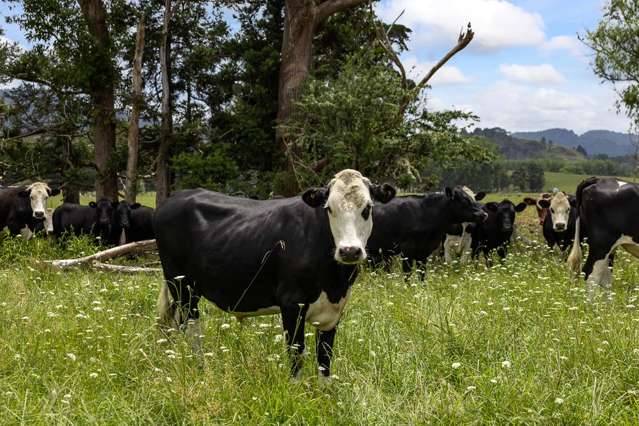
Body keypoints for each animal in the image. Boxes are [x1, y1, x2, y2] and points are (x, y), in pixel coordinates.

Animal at [154, 170, 396, 380]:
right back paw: (200, 369)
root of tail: (176, 197)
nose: (349, 250)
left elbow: (324, 359)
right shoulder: (291, 304)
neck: (335, 282)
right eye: (329, 208)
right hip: (182, 285)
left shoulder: (333, 311)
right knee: (192, 329)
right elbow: (296, 355)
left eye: (367, 208)